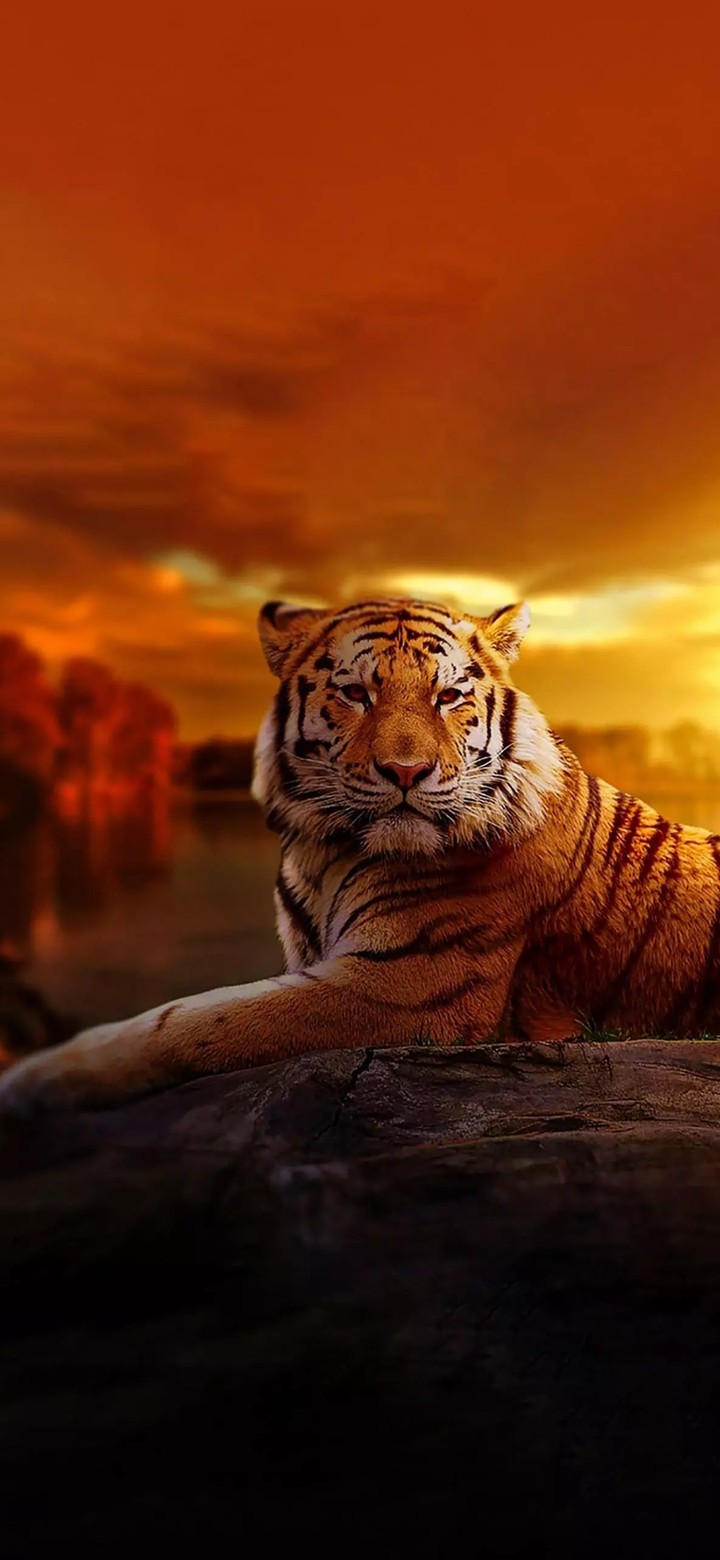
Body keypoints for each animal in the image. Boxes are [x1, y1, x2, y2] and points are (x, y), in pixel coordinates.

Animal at [1, 593, 719, 1116]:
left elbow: (195, 1020)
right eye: (355, 693)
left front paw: (40, 1078)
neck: (324, 852)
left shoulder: (405, 987)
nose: (407, 771)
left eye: (448, 696)